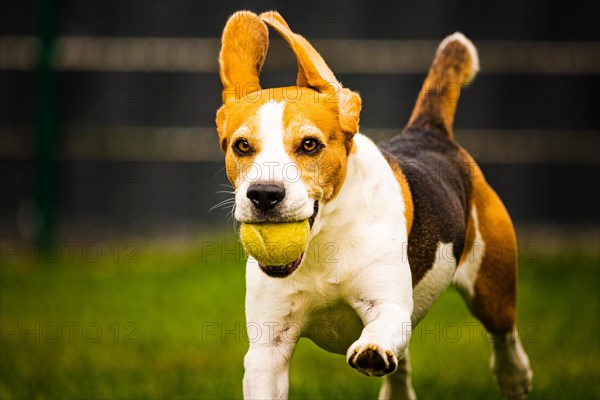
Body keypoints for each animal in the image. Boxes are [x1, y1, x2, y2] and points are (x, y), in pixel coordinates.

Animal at [216, 10, 536, 400]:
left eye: (309, 144)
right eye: (242, 146)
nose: (264, 194)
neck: (323, 242)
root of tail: (427, 132)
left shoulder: (388, 304)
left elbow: (383, 325)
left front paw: (372, 348)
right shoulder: (268, 348)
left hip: (491, 285)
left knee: (504, 334)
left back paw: (514, 376)